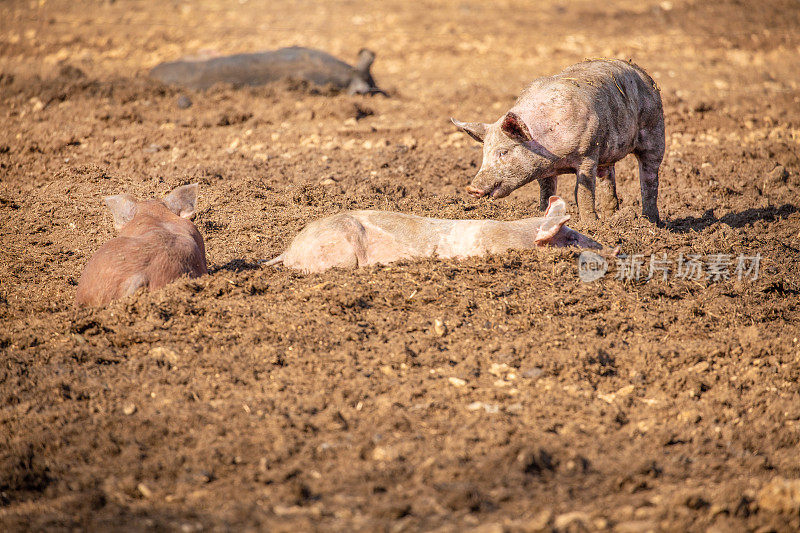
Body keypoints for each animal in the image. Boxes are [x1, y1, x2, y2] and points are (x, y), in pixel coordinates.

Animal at [454, 58, 664, 224]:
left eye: (503, 152)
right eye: (484, 154)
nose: (471, 188)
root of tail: (641, 72)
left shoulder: (588, 154)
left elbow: (583, 192)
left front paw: (590, 224)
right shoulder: (543, 168)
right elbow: (546, 192)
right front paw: (541, 215)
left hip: (655, 131)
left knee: (650, 179)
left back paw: (651, 222)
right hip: (608, 152)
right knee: (607, 177)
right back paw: (612, 217)